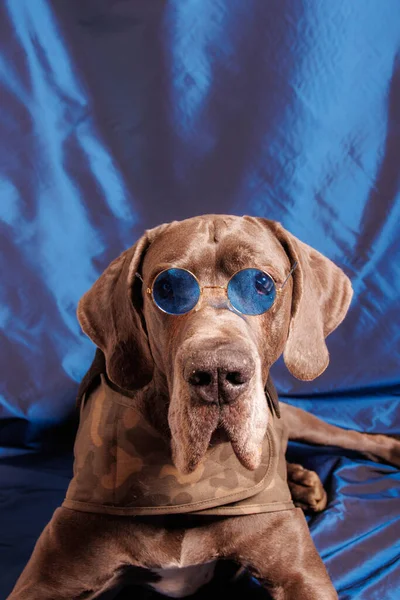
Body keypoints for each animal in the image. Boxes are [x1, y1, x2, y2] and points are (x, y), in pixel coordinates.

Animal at [8, 216, 400, 600]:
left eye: (261, 283)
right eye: (166, 288)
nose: (218, 374)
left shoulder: (301, 576)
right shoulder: (48, 579)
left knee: (345, 436)